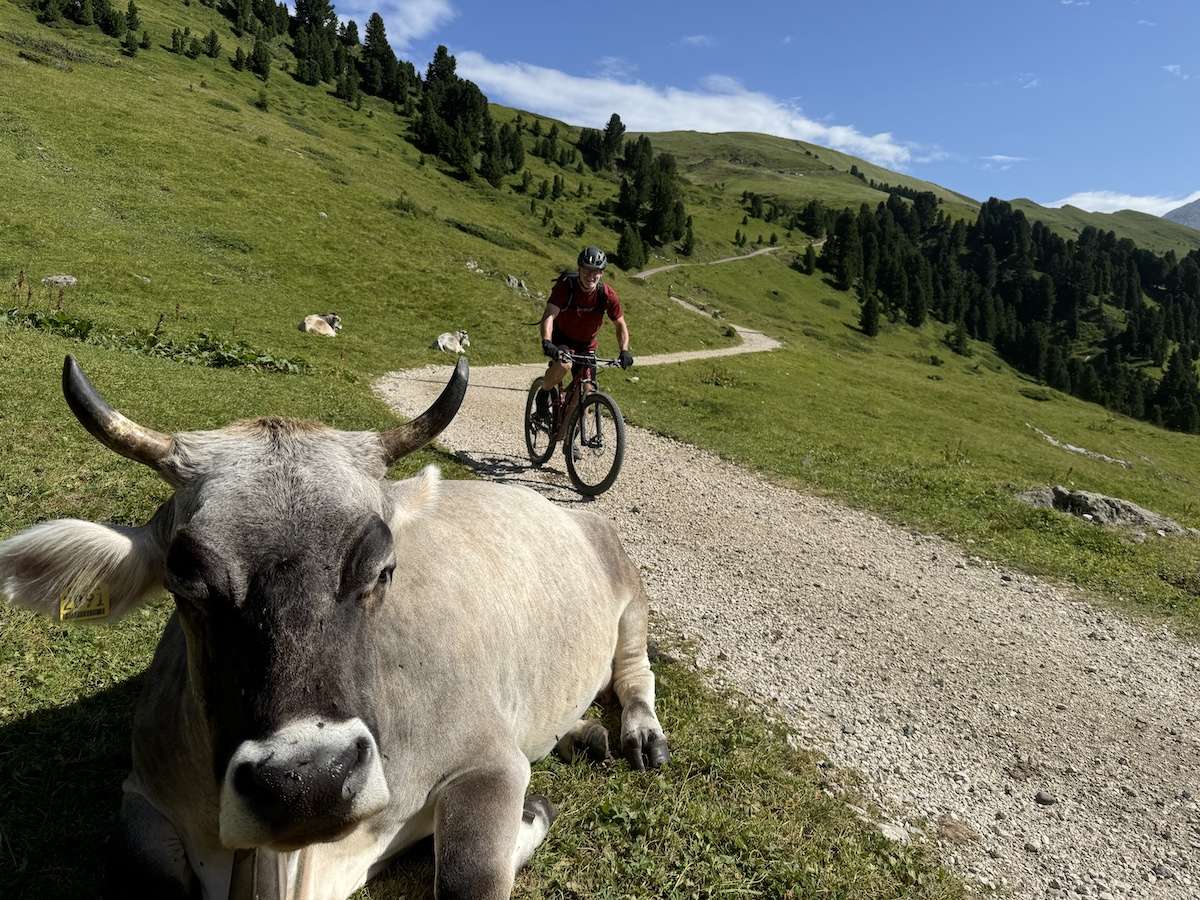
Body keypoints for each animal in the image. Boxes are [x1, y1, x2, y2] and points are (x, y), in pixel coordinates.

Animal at [0, 356, 669, 900]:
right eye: (184, 578)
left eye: (382, 568)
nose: (309, 782)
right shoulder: (142, 793)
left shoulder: (489, 762)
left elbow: (468, 875)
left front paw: (530, 818)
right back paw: (582, 732)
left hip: (630, 592)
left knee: (635, 671)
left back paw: (639, 734)